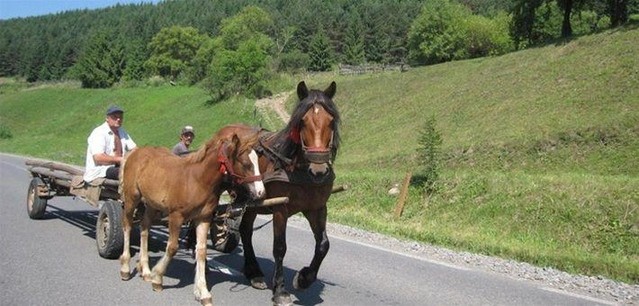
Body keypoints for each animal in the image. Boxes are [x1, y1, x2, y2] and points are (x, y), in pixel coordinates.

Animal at [119, 132, 264, 306]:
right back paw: (126, 268)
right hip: (132, 197)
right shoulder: (176, 216)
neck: (197, 181)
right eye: (245, 163)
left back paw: (146, 270)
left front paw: (203, 292)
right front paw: (158, 277)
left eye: (258, 161)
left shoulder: (203, 218)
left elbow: (201, 251)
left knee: (144, 227)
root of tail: (135, 152)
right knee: (127, 225)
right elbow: (172, 247)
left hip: (152, 204)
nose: (261, 192)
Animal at [216, 80, 340, 304]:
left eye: (331, 120)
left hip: (252, 202)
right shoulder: (281, 208)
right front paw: (280, 290)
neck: (298, 169)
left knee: (246, 231)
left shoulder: (317, 208)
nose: (319, 170)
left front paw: (304, 278)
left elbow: (323, 245)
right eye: (302, 121)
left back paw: (253, 272)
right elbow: (280, 247)